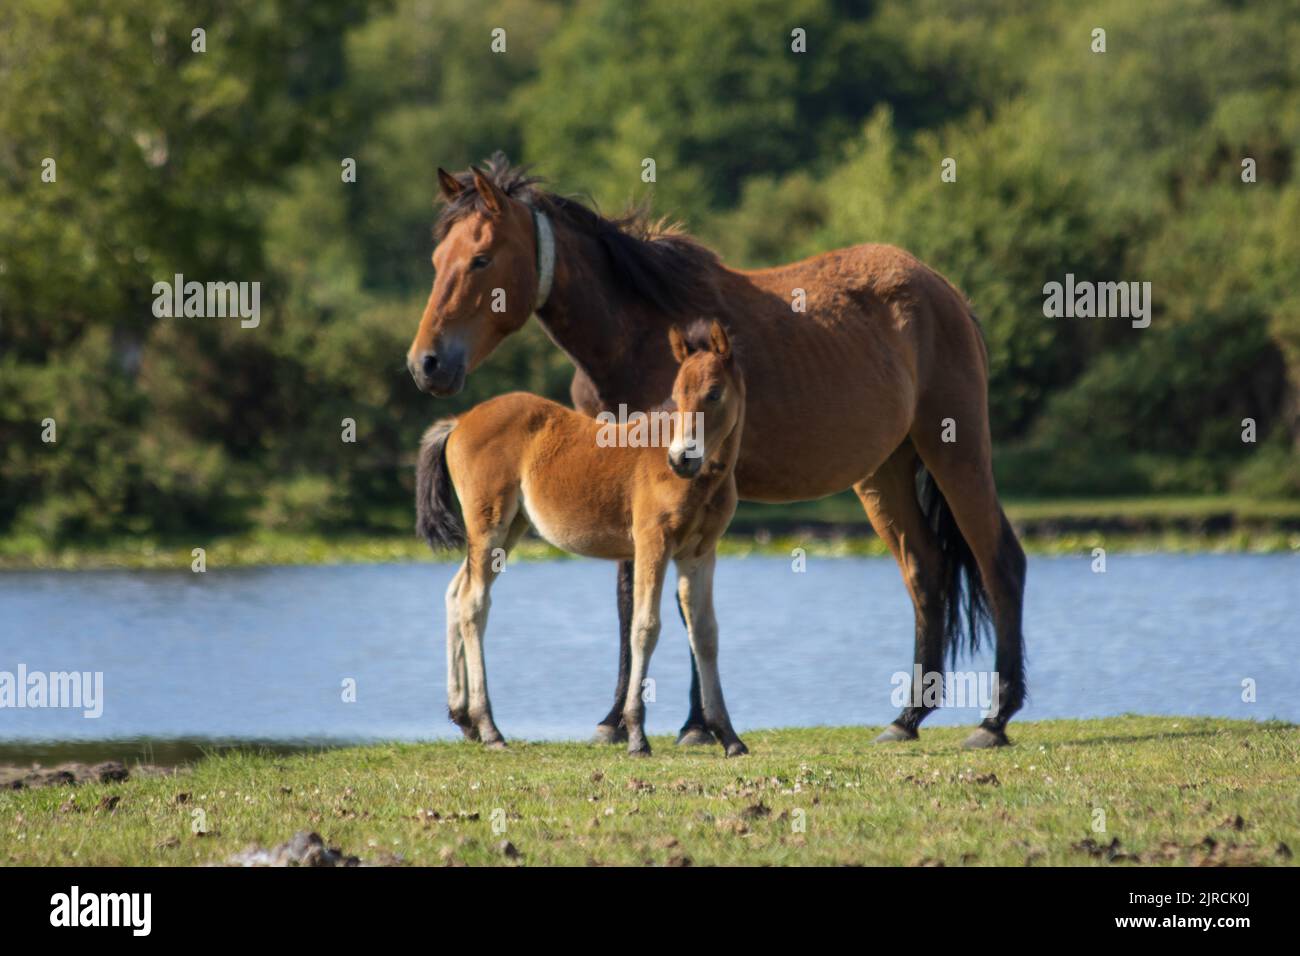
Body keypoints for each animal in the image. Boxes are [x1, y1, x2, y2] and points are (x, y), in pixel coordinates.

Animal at [414, 318, 749, 757]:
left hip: (510, 528)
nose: (681, 458)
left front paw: (730, 737)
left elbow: (706, 634)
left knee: (456, 592)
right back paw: (490, 729)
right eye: (677, 395)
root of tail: (460, 420)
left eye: (713, 393)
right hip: (489, 524)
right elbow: (645, 627)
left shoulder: (700, 552)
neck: (703, 481)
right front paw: (636, 736)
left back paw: (464, 717)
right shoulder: (652, 544)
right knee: (473, 602)